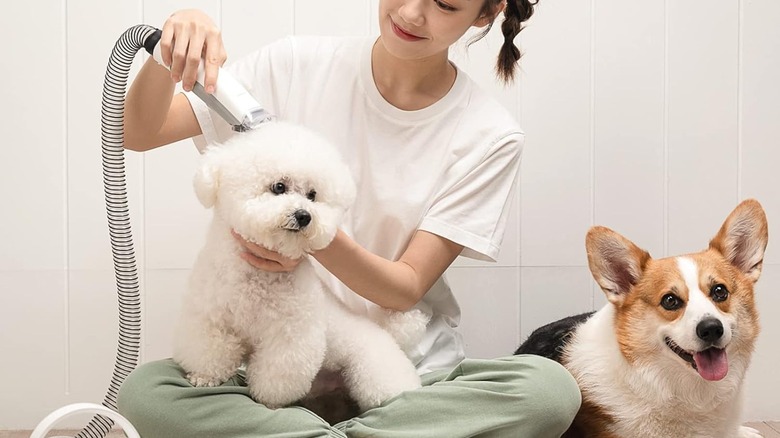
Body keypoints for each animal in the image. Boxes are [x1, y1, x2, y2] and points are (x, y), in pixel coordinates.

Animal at [173, 122, 430, 414]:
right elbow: (210, 350)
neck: (256, 280)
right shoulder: (209, 317)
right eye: (279, 186)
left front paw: (269, 402)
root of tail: (387, 334)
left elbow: (278, 373)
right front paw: (204, 377)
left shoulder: (290, 334)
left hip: (376, 372)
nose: (304, 216)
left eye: (312, 195)